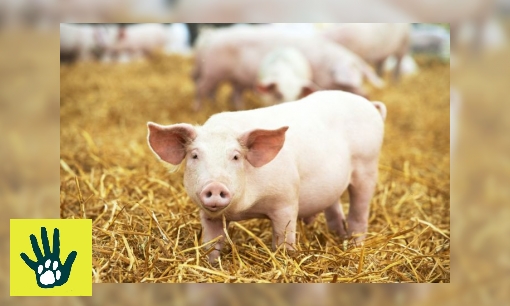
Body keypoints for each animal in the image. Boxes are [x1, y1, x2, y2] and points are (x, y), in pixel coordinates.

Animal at [145, 89, 384, 262]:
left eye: (236, 156)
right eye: (195, 155)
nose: (215, 186)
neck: (245, 209)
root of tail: (370, 105)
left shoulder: (286, 201)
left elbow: (284, 239)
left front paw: (285, 260)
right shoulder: (208, 215)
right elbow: (212, 243)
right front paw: (210, 264)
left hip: (367, 167)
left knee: (359, 212)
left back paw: (355, 245)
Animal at [193, 24, 384, 111]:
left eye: (361, 77)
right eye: (346, 83)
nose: (366, 94)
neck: (324, 66)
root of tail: (211, 36)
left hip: (235, 79)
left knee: (231, 93)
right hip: (213, 71)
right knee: (201, 88)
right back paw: (199, 108)